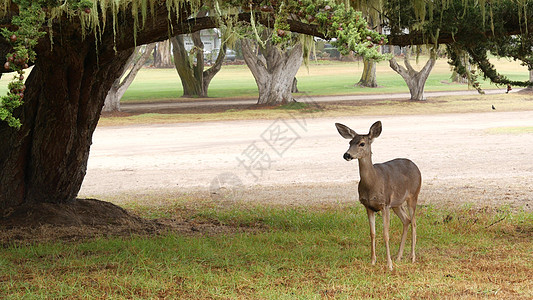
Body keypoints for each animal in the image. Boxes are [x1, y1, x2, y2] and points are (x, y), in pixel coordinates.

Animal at [336, 120, 420, 270]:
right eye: (350, 142)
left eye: (362, 143)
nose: (347, 155)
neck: (372, 184)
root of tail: (416, 167)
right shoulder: (368, 206)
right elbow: (372, 233)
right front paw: (373, 261)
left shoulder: (384, 204)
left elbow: (386, 234)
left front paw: (389, 265)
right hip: (397, 204)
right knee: (406, 220)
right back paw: (398, 256)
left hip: (413, 195)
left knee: (414, 222)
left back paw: (412, 257)